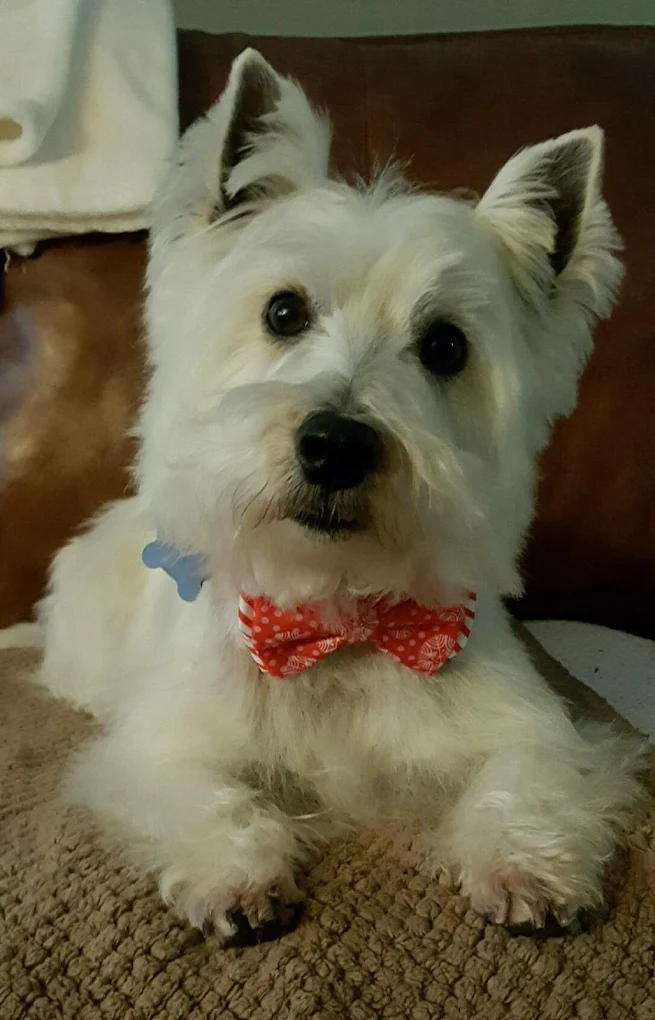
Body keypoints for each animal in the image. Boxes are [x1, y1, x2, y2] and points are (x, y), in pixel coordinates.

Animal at [39, 49, 644, 946]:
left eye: (445, 345)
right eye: (283, 310)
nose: (336, 445)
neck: (337, 620)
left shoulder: (531, 729)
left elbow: (525, 777)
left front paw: (526, 869)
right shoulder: (161, 747)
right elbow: (202, 793)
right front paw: (236, 875)